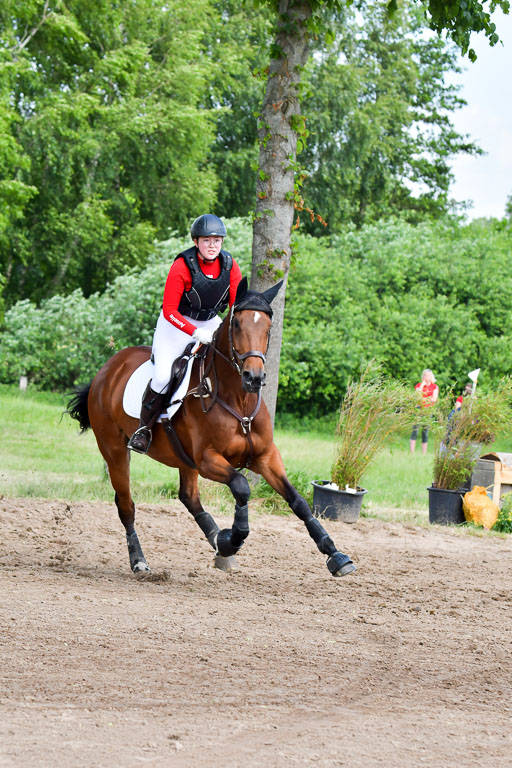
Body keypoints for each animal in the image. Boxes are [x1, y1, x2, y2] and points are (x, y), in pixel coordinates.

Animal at [66, 277, 355, 579]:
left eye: (268, 326)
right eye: (236, 323)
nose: (254, 378)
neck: (238, 400)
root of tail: (107, 369)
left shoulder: (265, 457)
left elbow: (297, 501)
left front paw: (336, 555)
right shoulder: (207, 459)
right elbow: (241, 486)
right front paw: (234, 538)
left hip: (183, 458)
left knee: (189, 497)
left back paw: (218, 542)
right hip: (115, 451)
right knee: (126, 505)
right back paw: (141, 561)